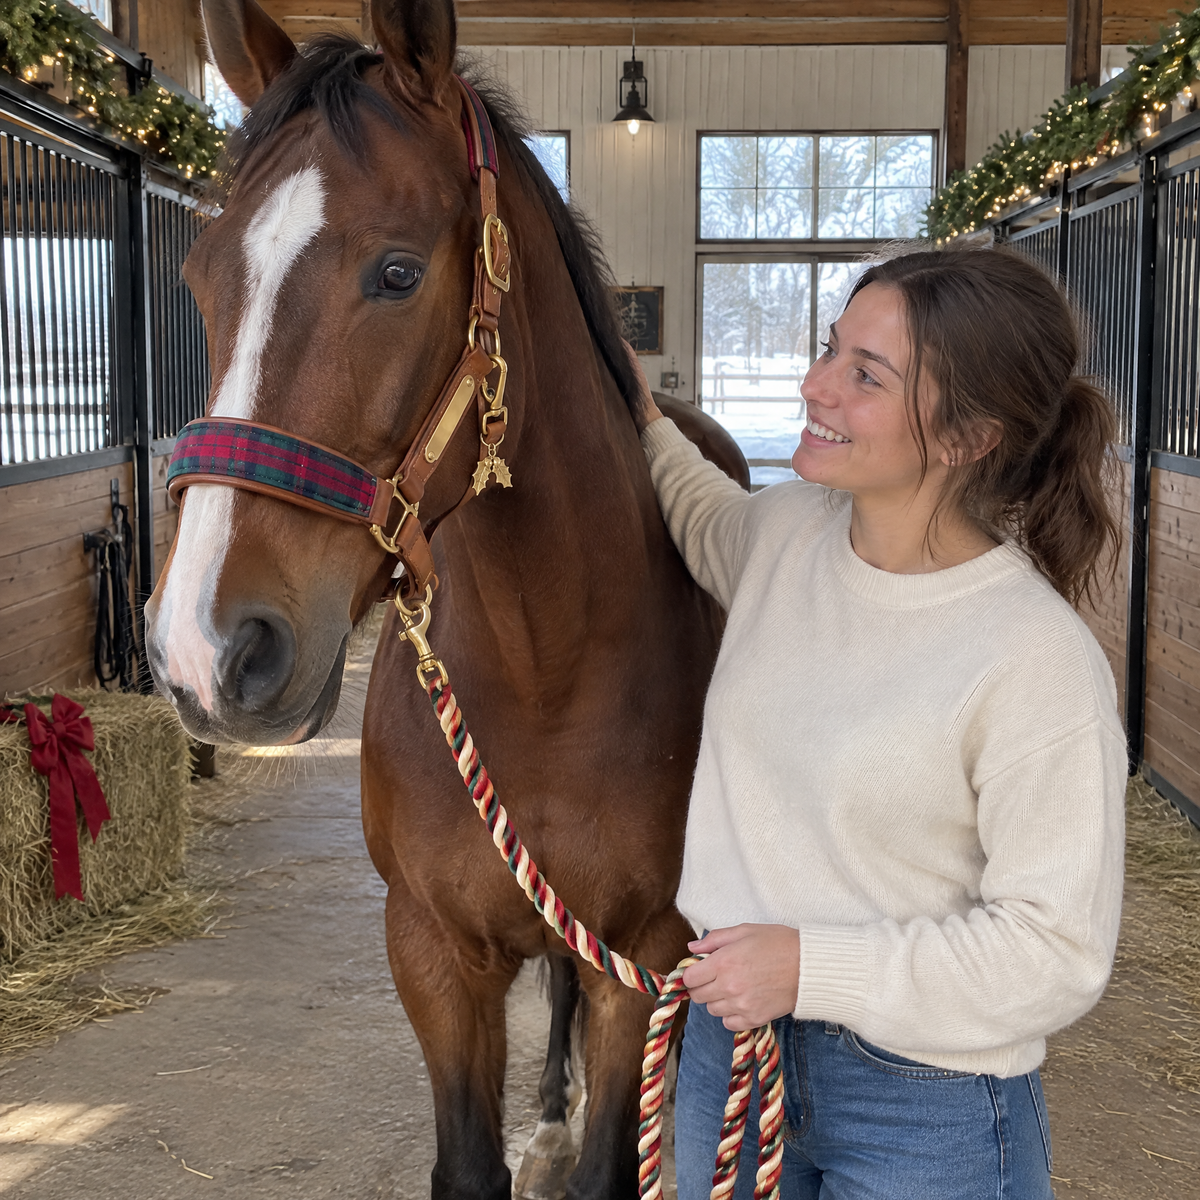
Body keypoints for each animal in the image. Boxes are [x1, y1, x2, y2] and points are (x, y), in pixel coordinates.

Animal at [145, 1, 747, 1195]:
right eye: (200, 275)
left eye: (395, 272)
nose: (205, 650)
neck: (540, 670)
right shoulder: (430, 954)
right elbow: (467, 1164)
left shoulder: (642, 957)